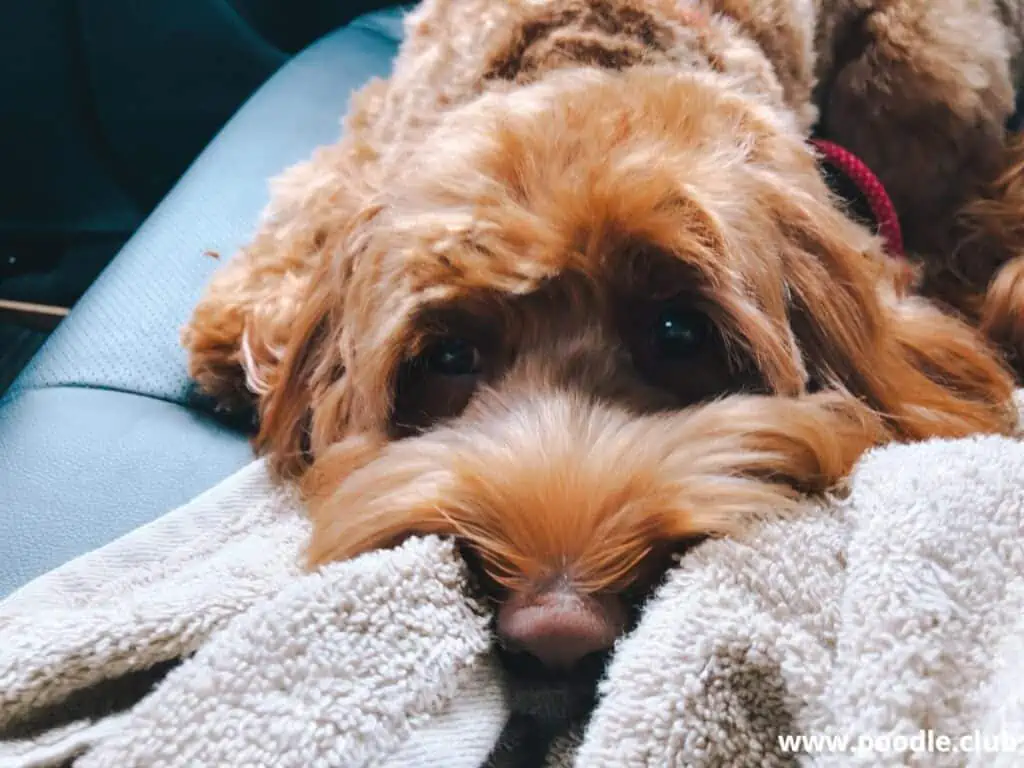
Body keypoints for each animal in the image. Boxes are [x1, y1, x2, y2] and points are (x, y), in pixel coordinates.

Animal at [184, 0, 1024, 720]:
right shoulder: (386, 113)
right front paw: (246, 320)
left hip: (922, 65)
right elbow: (323, 188)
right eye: (449, 354)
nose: (559, 632)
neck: (591, 48)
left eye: (679, 333)